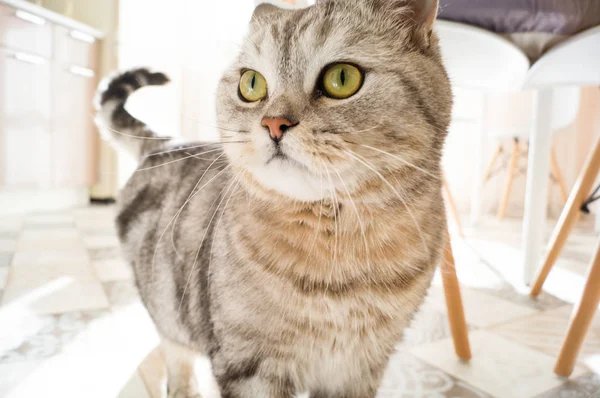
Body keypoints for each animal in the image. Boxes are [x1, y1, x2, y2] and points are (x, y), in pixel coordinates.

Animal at [94, 0, 450, 398]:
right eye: (251, 84)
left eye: (342, 78)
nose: (274, 123)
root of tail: (163, 144)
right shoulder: (250, 366)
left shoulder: (359, 366)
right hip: (167, 308)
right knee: (176, 360)